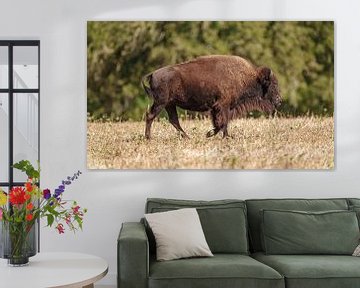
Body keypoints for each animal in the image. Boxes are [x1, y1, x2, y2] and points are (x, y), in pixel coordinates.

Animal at [141, 55, 282, 140]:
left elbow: (221, 122)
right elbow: (223, 122)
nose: (279, 100)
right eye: (273, 84)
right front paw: (215, 135)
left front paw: (216, 135)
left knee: (173, 120)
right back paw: (148, 138)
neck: (248, 78)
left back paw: (187, 137)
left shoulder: (218, 108)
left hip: (170, 104)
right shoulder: (222, 106)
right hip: (161, 103)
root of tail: (152, 74)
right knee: (151, 116)